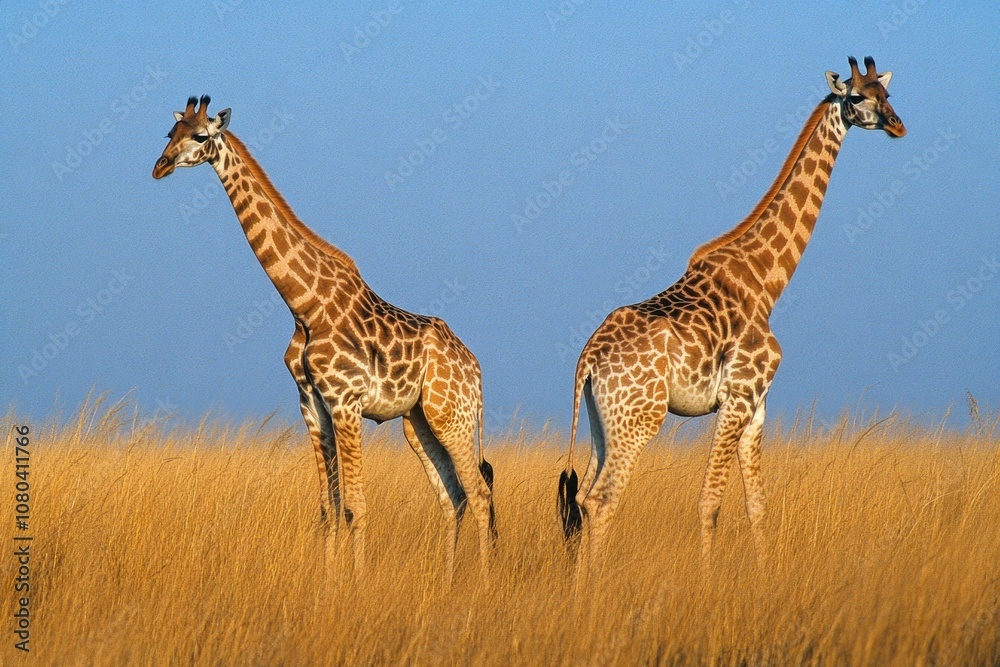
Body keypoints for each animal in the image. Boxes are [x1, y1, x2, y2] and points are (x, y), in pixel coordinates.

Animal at [153, 96, 497, 583]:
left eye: (200, 136)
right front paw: (329, 580)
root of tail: (475, 367)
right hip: (419, 423)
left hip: (453, 416)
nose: (159, 167)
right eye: (170, 133)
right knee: (454, 497)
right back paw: (448, 581)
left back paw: (482, 583)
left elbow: (355, 506)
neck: (304, 306)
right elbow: (327, 507)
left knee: (480, 493)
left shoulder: (345, 402)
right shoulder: (311, 405)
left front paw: (356, 583)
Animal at [558, 57, 905, 572]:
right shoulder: (739, 396)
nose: (898, 125)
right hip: (639, 419)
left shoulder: (758, 404)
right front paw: (706, 581)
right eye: (858, 97)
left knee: (583, 499)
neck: (766, 282)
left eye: (887, 95)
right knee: (601, 500)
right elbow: (710, 502)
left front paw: (763, 576)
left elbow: (756, 504)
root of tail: (587, 360)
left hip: (604, 423)